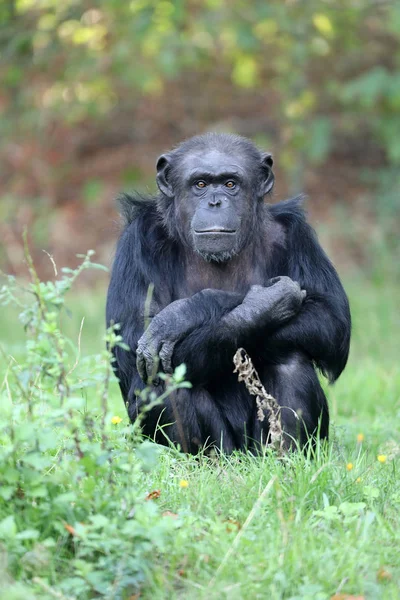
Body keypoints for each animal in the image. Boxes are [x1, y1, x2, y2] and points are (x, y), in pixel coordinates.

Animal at [106, 134, 350, 452]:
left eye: (231, 183)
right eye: (200, 184)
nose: (215, 201)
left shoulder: (297, 235)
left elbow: (331, 321)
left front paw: (181, 315)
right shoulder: (137, 241)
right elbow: (133, 339)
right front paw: (259, 302)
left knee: (292, 359)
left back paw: (285, 457)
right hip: (222, 446)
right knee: (161, 378)